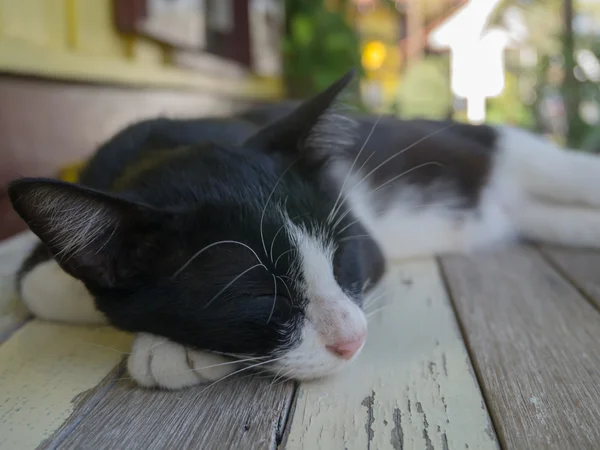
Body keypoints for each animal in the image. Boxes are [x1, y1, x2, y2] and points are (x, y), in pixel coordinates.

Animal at [8, 68, 600, 388]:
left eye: (340, 258)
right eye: (255, 295)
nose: (354, 339)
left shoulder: (364, 235)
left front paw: (169, 350)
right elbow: (40, 285)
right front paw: (171, 339)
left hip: (511, 155)